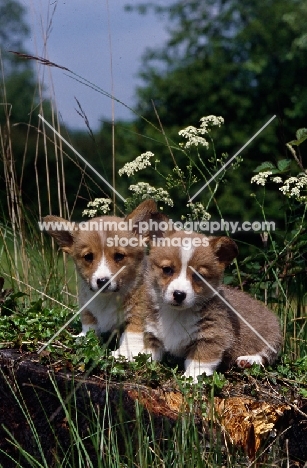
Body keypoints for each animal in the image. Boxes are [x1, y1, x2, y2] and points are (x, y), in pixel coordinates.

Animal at [42, 199, 159, 338]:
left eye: (119, 256)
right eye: (88, 257)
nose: (103, 282)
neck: (107, 298)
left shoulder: (137, 317)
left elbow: (131, 337)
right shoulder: (88, 313)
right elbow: (88, 331)